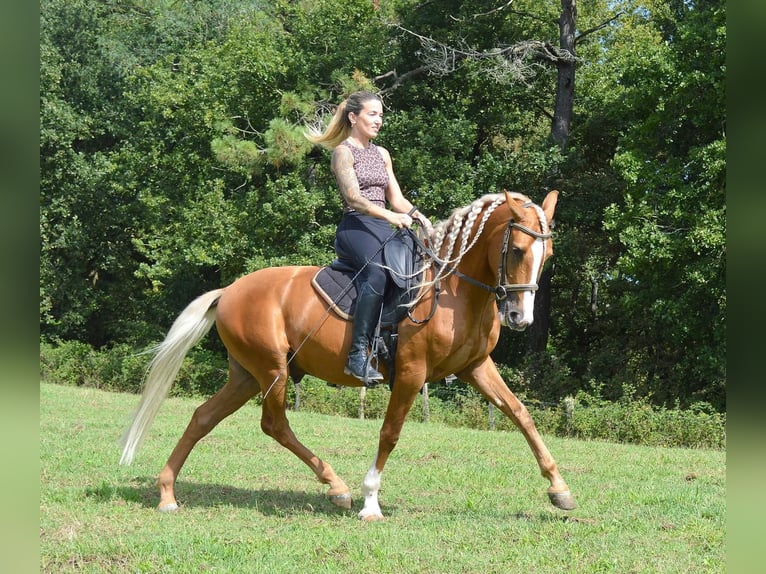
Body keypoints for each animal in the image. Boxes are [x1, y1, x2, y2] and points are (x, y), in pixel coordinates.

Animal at [119, 189, 577, 521]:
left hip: (247, 375)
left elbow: (520, 414)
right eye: (517, 251)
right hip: (272, 370)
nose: (520, 316)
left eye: (547, 255)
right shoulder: (411, 373)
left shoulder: (475, 367)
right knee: (274, 424)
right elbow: (390, 433)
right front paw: (370, 502)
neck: (453, 290)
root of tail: (230, 290)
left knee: (204, 418)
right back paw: (337, 488)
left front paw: (560, 490)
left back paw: (167, 493)